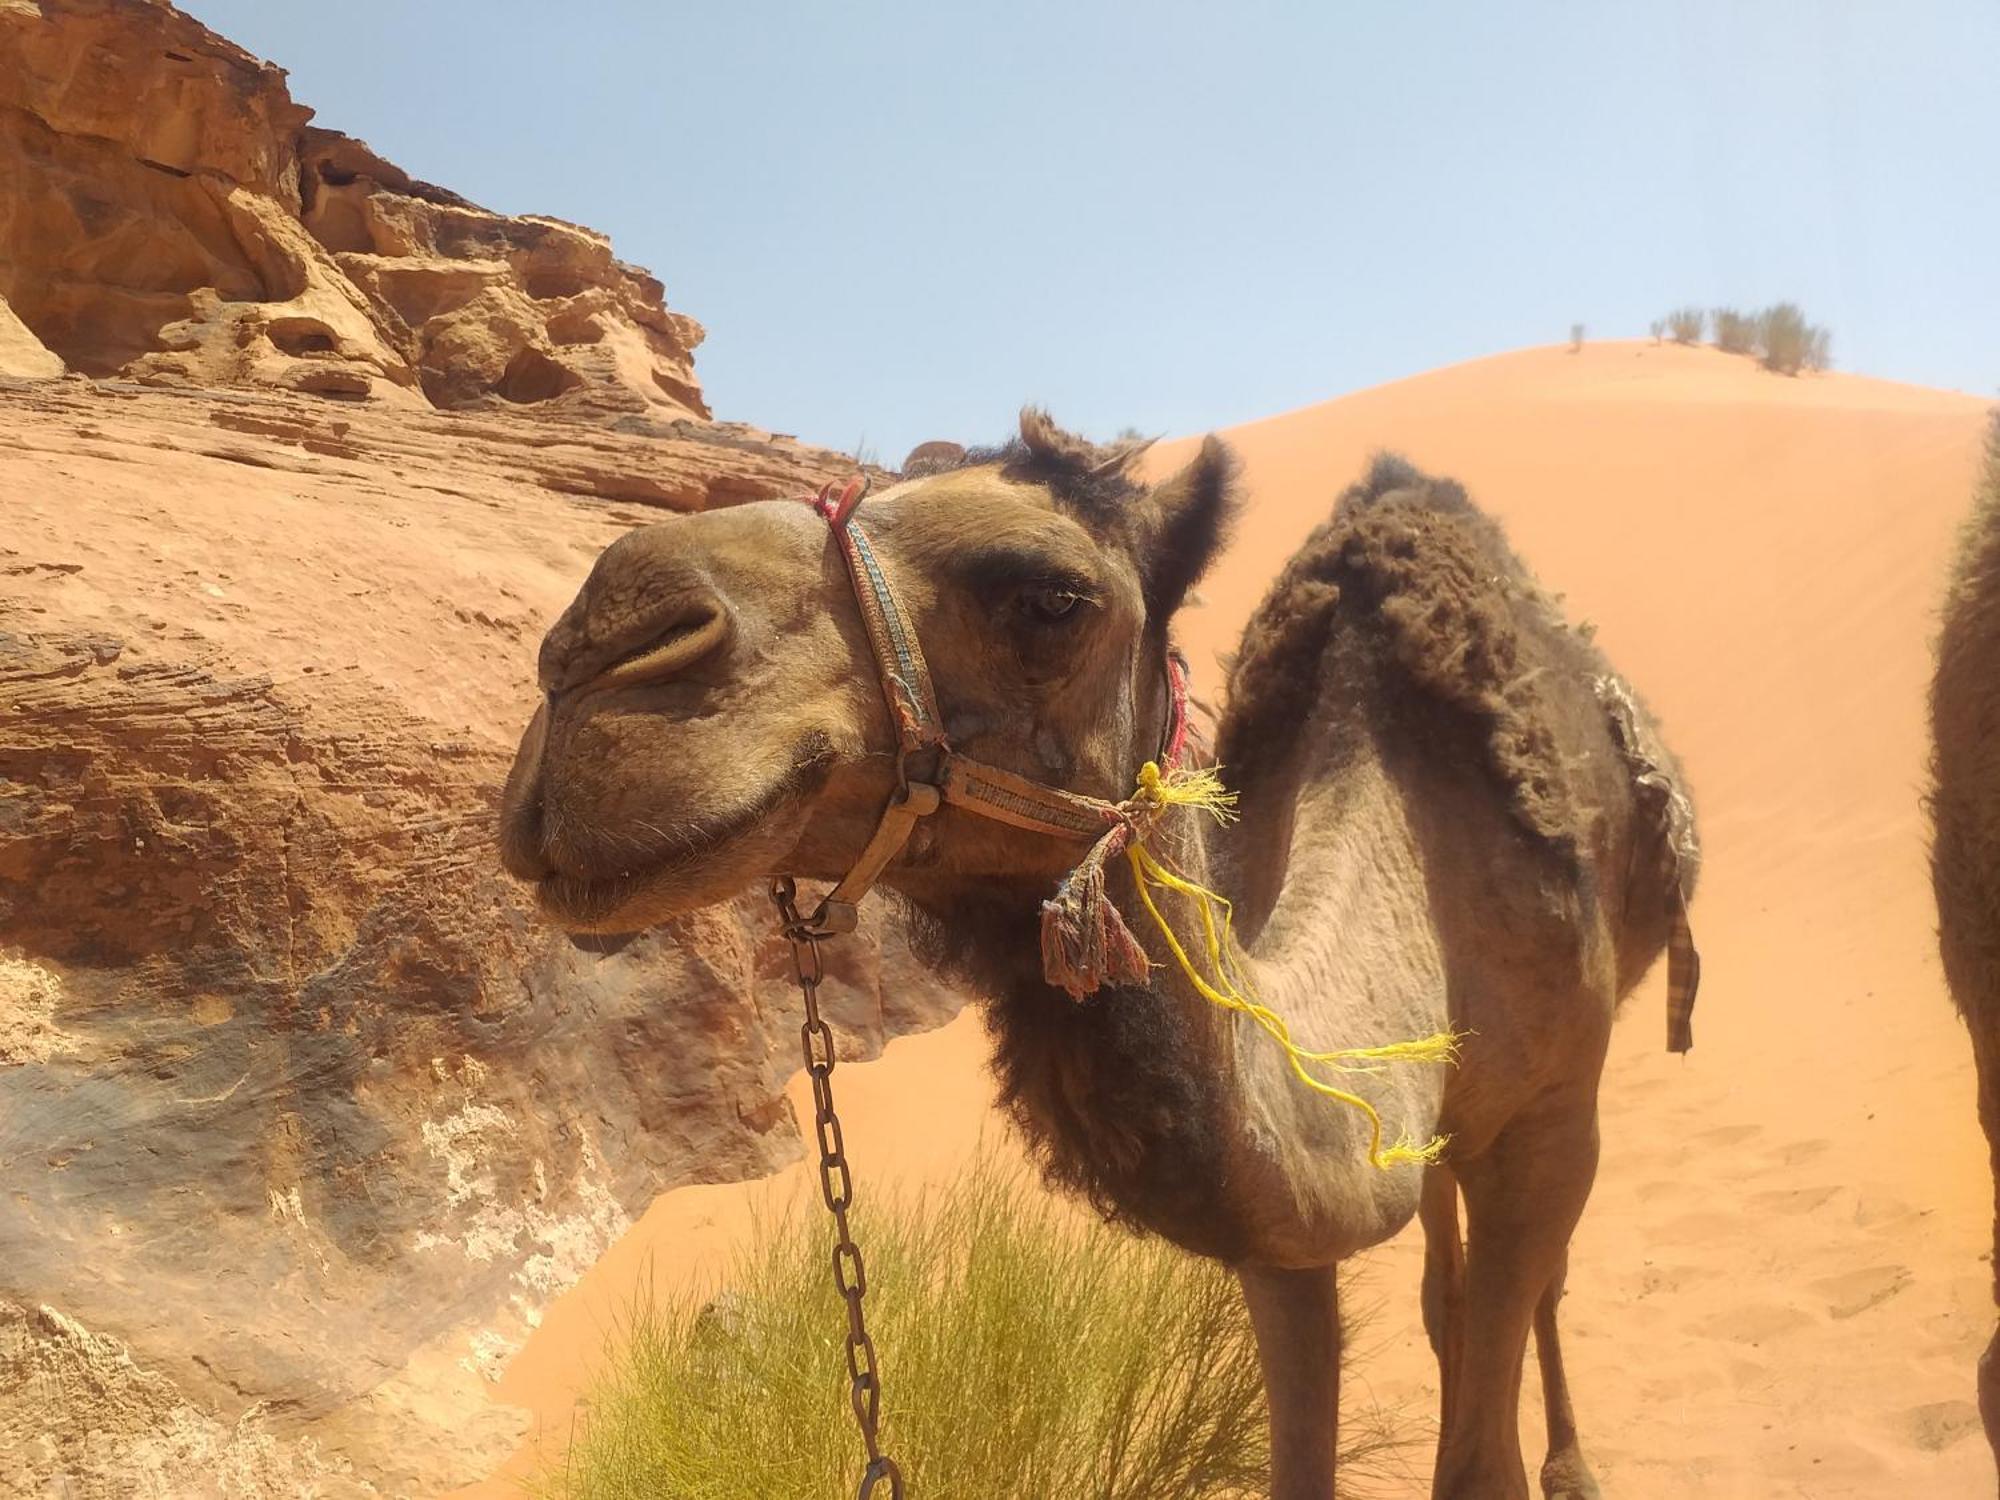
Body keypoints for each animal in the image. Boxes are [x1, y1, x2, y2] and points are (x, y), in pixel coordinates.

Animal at [500, 414, 1704, 1500]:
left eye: (1052, 599)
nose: (592, 647)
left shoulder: (1554, 1111)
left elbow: (1497, 1404)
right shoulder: (1283, 1222)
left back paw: (1570, 1464)